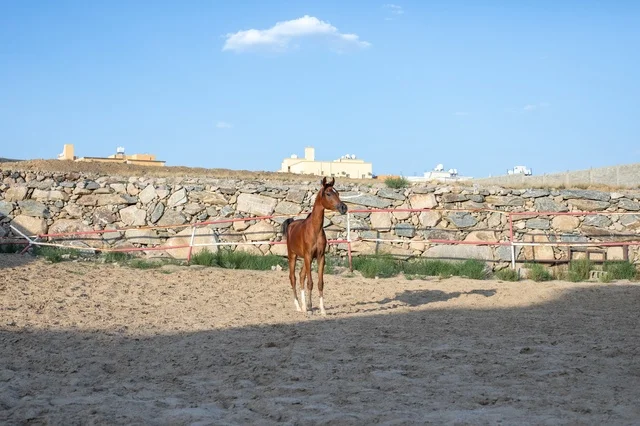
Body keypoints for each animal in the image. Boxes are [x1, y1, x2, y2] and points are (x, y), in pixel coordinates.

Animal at [281, 177, 347, 316]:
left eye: (338, 193)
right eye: (328, 193)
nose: (344, 207)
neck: (314, 230)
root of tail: (291, 224)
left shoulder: (320, 257)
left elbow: (320, 283)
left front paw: (322, 309)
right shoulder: (308, 256)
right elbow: (310, 282)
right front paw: (311, 308)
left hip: (306, 259)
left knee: (301, 276)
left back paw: (303, 307)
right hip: (293, 255)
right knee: (293, 278)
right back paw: (298, 306)